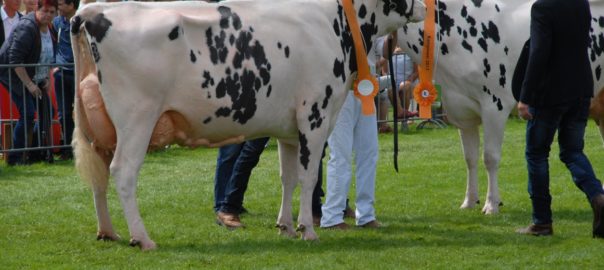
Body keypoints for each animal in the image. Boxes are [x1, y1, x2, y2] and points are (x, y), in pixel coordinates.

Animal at [71, 0, 424, 250]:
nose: (423, 6)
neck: (335, 23)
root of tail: (95, 10)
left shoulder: (288, 130)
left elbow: (287, 178)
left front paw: (285, 226)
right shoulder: (315, 116)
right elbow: (308, 179)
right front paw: (307, 229)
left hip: (99, 128)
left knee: (99, 176)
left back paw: (108, 232)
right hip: (137, 118)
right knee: (123, 172)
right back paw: (142, 238)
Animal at [396, 0, 604, 214]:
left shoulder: (494, 106)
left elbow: (490, 157)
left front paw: (491, 204)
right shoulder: (462, 112)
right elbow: (469, 158)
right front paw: (469, 201)